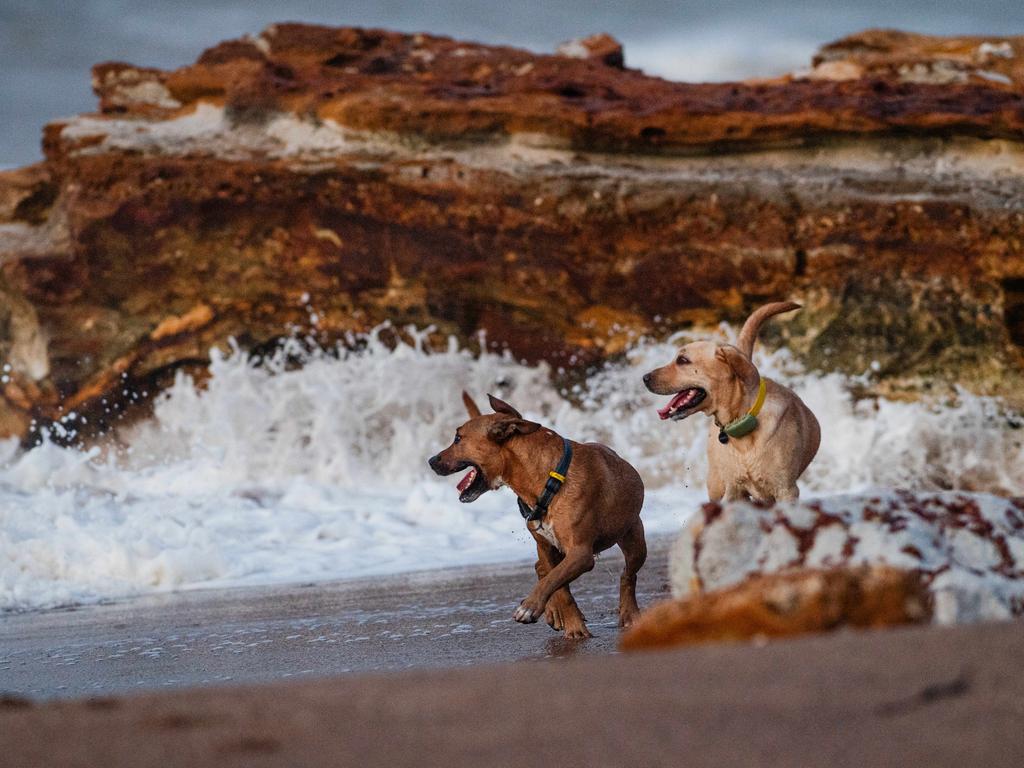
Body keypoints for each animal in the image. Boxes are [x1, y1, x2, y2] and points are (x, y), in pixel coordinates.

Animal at [428, 393, 643, 638]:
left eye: (457, 438)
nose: (431, 461)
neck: (548, 479)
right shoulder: (546, 546)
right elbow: (558, 585)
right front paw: (572, 624)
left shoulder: (580, 553)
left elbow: (553, 579)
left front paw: (531, 608)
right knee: (541, 568)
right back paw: (555, 613)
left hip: (634, 539)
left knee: (628, 576)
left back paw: (629, 613)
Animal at [643, 301, 819, 505]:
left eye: (682, 360)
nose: (644, 378)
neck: (743, 419)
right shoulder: (734, 491)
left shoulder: (786, 491)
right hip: (716, 485)